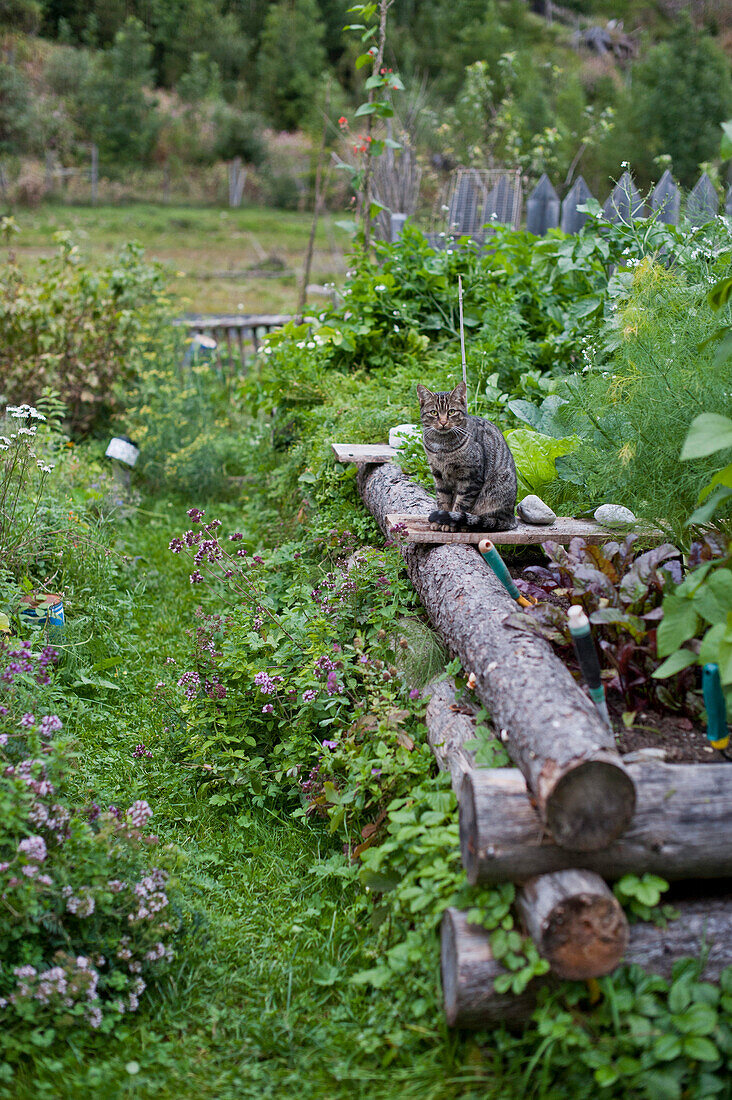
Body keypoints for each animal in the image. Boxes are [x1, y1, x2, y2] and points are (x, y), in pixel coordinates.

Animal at [413, 380, 517, 530]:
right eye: (434, 412)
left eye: (451, 411)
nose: (443, 422)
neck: (441, 445)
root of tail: (512, 517)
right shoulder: (438, 475)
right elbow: (442, 499)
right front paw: (439, 521)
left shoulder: (471, 477)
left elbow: (461, 504)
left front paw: (450, 523)